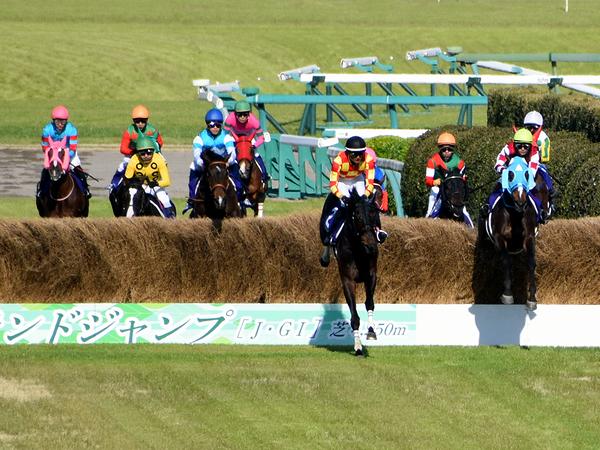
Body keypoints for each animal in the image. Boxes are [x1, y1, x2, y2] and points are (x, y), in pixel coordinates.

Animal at [482, 157, 540, 310]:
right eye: (510, 175)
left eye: (527, 174)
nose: (520, 201)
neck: (515, 214)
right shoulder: (499, 238)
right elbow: (506, 261)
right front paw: (507, 294)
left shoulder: (529, 237)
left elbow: (531, 263)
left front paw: (532, 298)